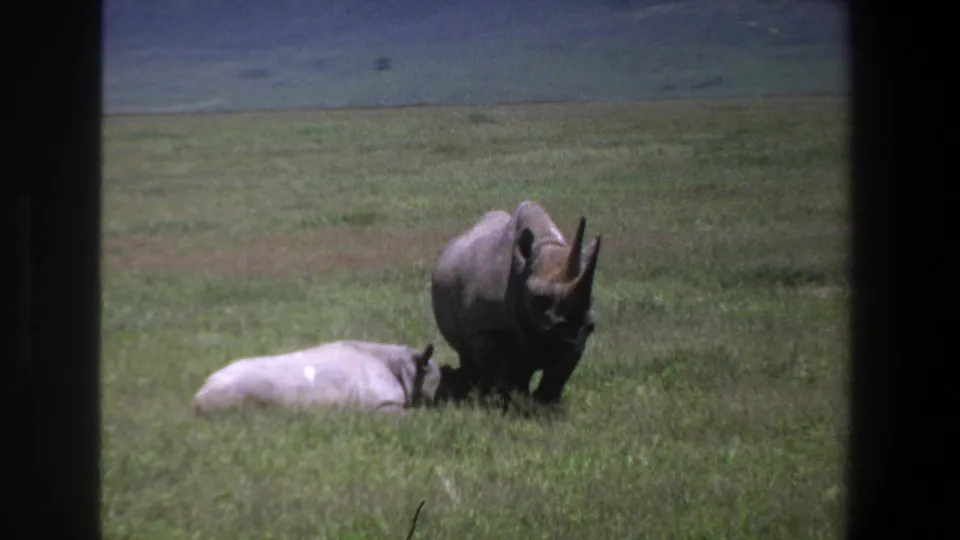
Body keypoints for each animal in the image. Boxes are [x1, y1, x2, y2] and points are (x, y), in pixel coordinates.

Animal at [430, 200, 602, 409]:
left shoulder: (579, 335)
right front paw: (505, 405)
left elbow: (558, 373)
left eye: (591, 299)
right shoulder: (487, 327)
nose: (570, 328)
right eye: (539, 298)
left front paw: (546, 407)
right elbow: (499, 371)